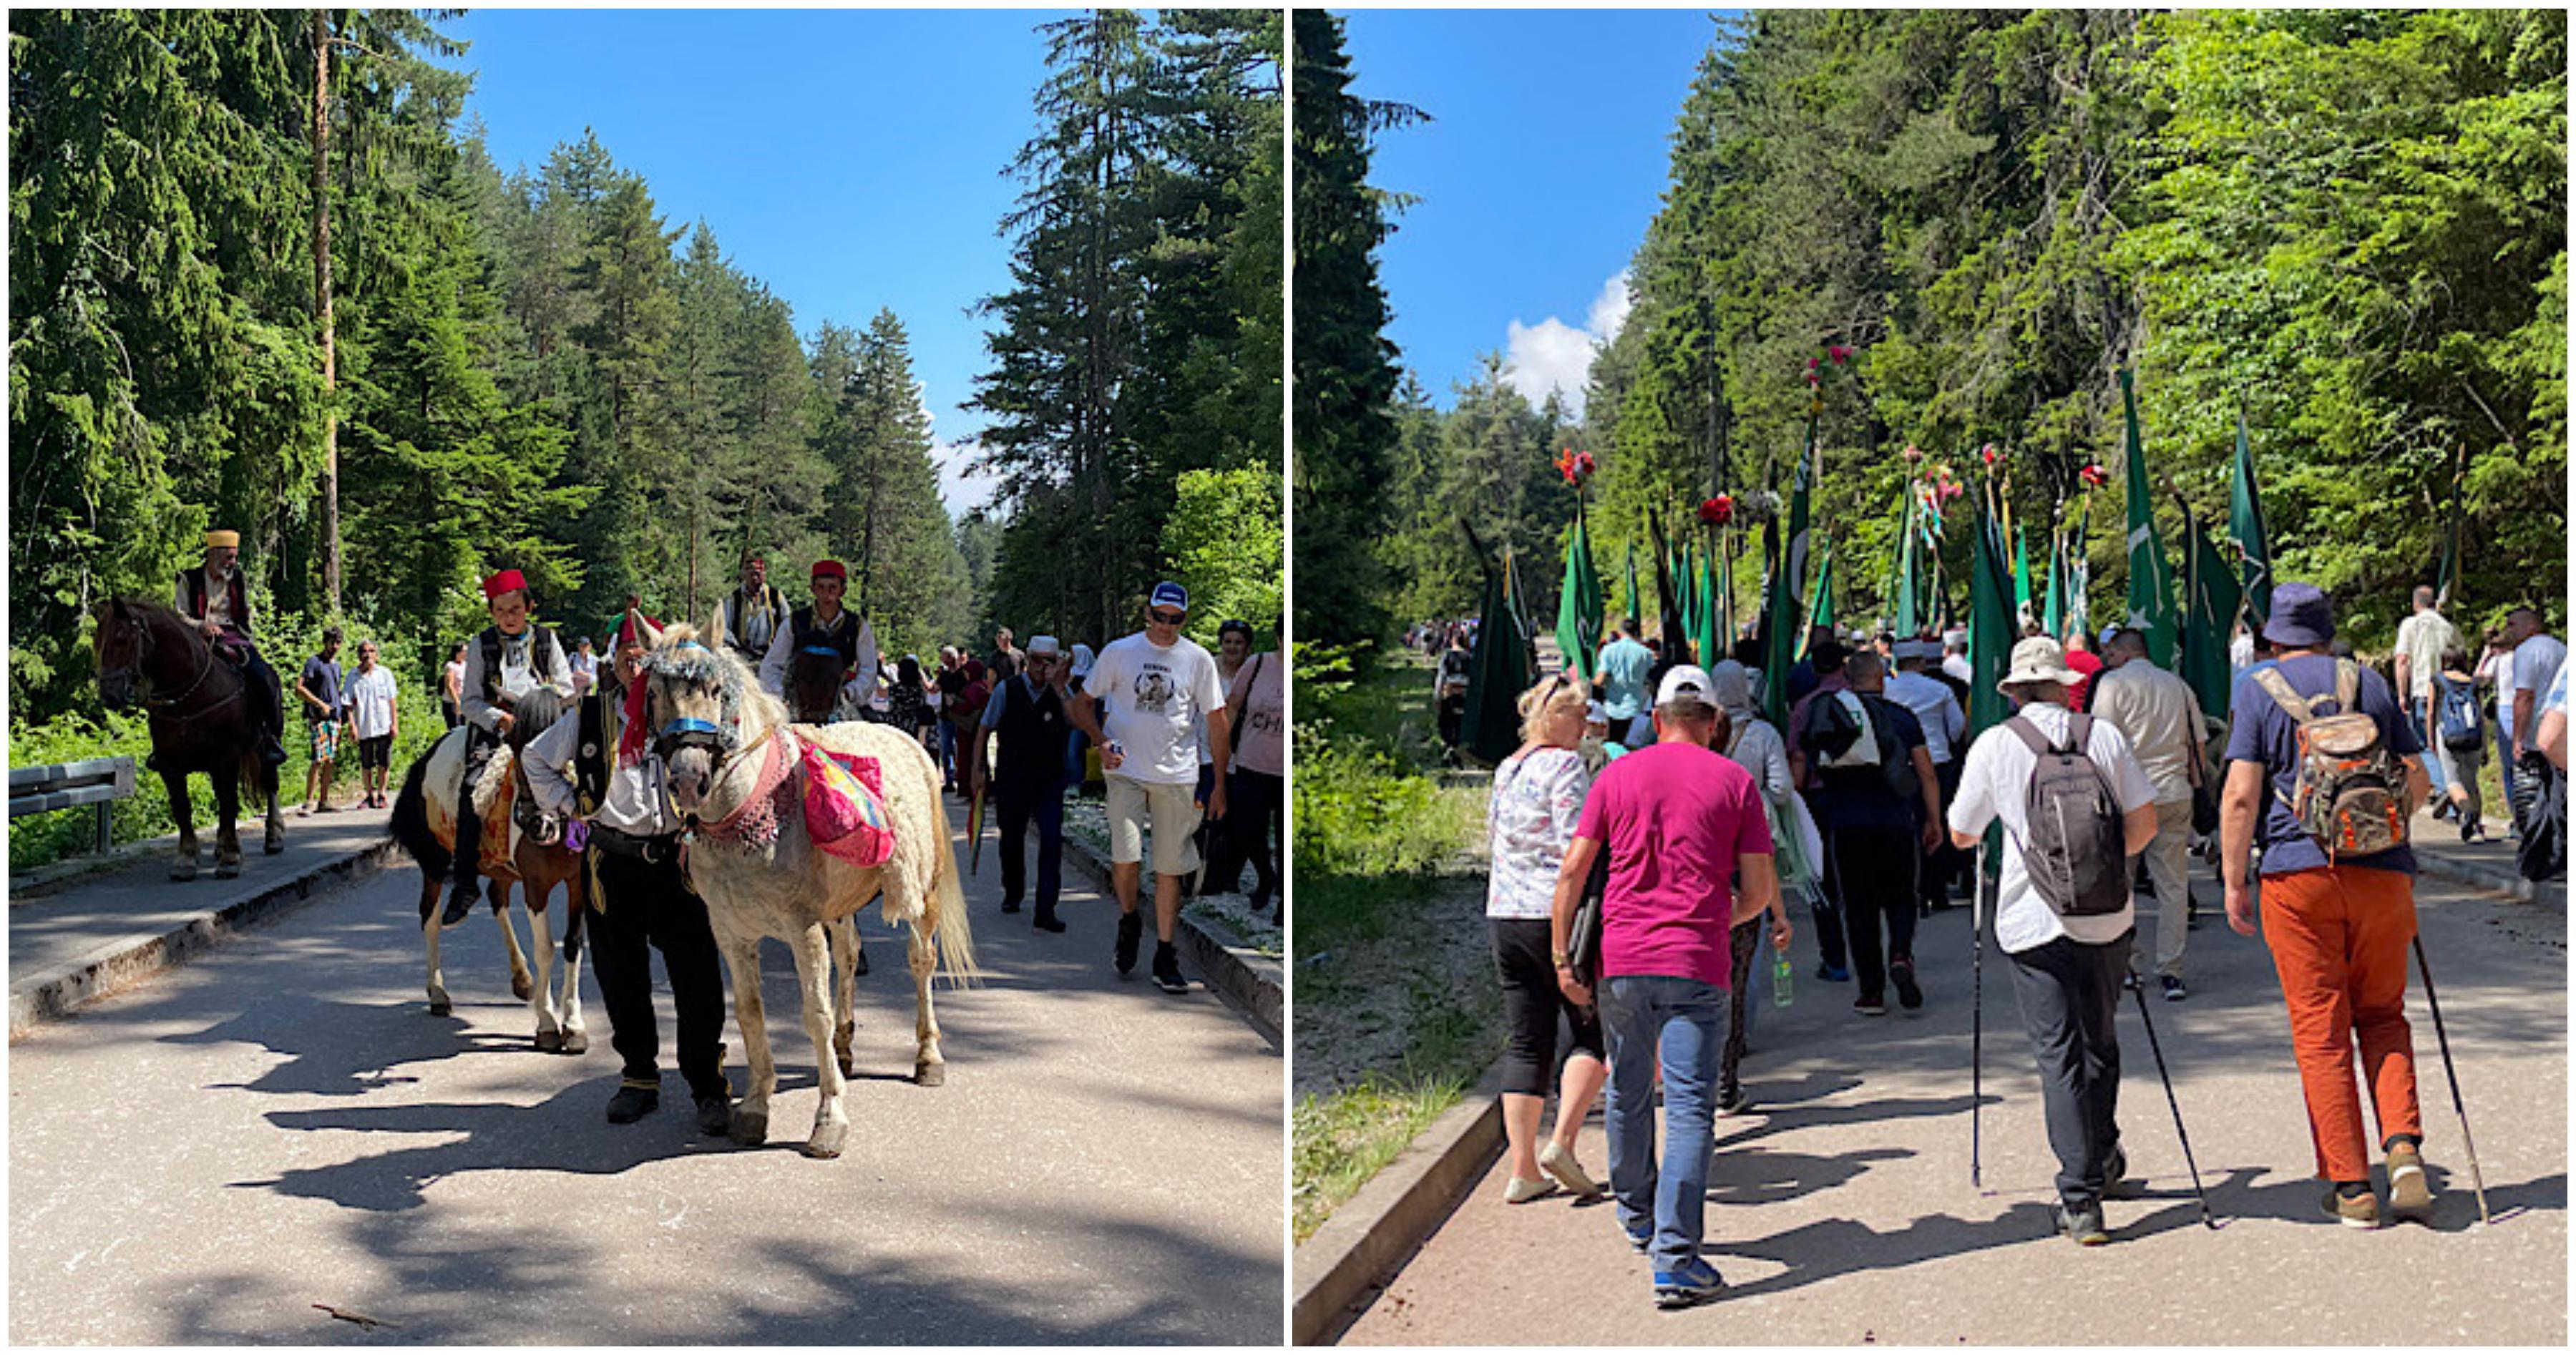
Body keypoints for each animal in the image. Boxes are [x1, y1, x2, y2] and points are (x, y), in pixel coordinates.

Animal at [92, 597, 282, 876]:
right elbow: (183, 806)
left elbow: (228, 802)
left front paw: (231, 857)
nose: (109, 694)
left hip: (265, 747)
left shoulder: (225, 758)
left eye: (121, 638)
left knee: (270, 784)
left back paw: (274, 836)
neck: (190, 695)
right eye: (98, 642)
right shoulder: (170, 764)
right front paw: (187, 857)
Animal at [636, 631, 973, 1164]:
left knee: (922, 963)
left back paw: (928, 1057)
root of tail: (910, 743)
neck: (751, 812)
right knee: (851, 955)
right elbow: (751, 1014)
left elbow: (815, 1014)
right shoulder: (731, 933)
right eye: (652, 694)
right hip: (841, 907)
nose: (688, 780)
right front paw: (755, 1108)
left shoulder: (803, 929)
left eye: (716, 690)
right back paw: (846, 1048)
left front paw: (829, 1118)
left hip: (923, 892)